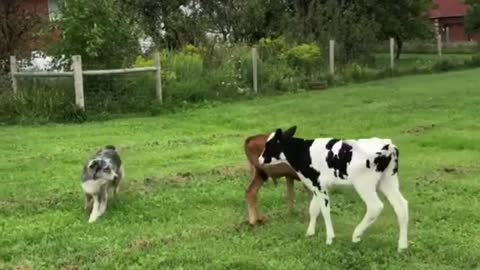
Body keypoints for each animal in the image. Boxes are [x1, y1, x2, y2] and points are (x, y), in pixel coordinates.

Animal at [258, 127, 408, 252]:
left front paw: (329, 238)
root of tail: (388, 146)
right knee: (401, 205)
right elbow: (313, 209)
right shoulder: (317, 186)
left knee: (375, 206)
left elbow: (324, 211)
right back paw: (402, 246)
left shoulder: (319, 186)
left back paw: (356, 235)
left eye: (268, 145)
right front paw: (310, 233)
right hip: (388, 180)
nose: (259, 159)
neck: (303, 152)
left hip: (364, 183)